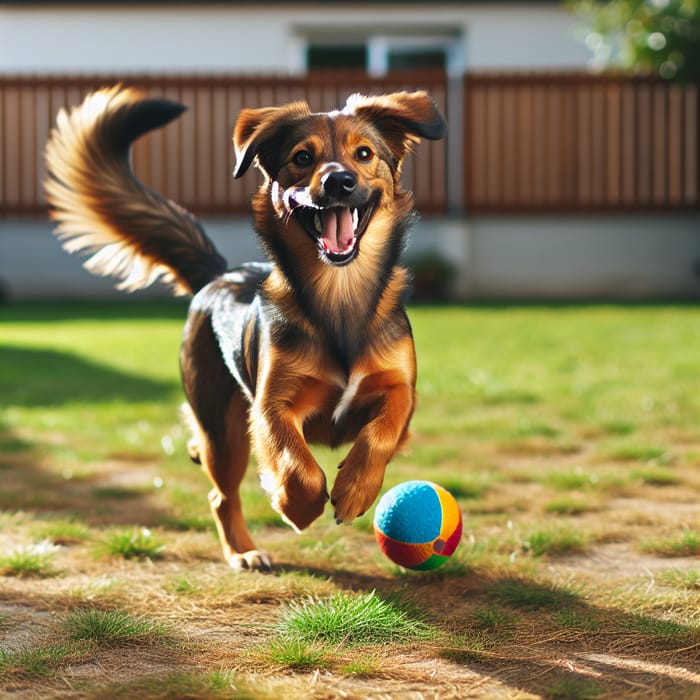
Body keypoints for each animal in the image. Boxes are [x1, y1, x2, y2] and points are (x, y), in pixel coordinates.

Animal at [43, 85, 446, 572]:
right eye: (302, 157)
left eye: (364, 154)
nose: (338, 182)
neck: (338, 295)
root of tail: (220, 275)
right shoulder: (270, 405)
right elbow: (296, 463)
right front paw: (298, 507)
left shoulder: (400, 390)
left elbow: (381, 432)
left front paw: (354, 489)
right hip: (225, 429)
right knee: (220, 494)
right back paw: (243, 550)